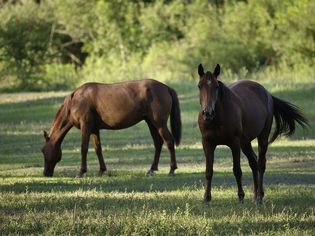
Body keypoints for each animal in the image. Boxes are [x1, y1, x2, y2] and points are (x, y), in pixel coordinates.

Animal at [41, 79, 183, 177]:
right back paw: (152, 169)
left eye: (42, 150)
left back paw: (171, 169)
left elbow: (84, 148)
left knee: (169, 141)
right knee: (158, 143)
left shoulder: (86, 127)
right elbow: (98, 149)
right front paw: (101, 170)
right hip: (151, 123)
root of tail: (166, 87)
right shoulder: (94, 129)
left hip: (159, 124)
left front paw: (81, 172)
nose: (46, 173)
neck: (75, 101)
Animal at [198, 63, 308, 204]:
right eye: (199, 86)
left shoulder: (234, 143)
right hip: (245, 143)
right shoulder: (207, 143)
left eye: (216, 86)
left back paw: (259, 197)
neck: (218, 118)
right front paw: (206, 198)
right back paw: (256, 195)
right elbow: (209, 171)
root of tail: (267, 94)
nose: (207, 113)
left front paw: (240, 196)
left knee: (260, 164)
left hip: (262, 138)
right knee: (253, 163)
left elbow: (237, 170)